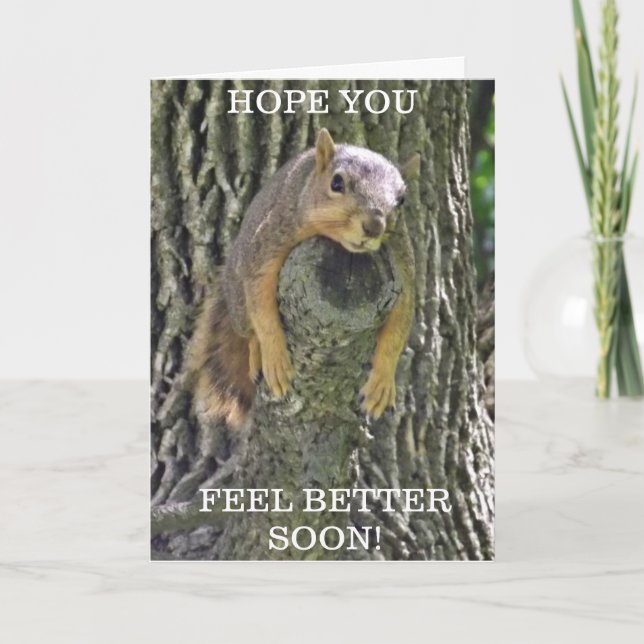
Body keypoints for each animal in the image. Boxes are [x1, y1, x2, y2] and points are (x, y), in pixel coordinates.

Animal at [189, 128, 420, 427]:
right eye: (336, 183)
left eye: (401, 200)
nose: (374, 226)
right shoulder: (271, 239)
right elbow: (261, 305)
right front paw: (275, 356)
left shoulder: (402, 266)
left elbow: (398, 329)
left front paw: (382, 382)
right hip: (238, 299)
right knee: (248, 328)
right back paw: (256, 352)